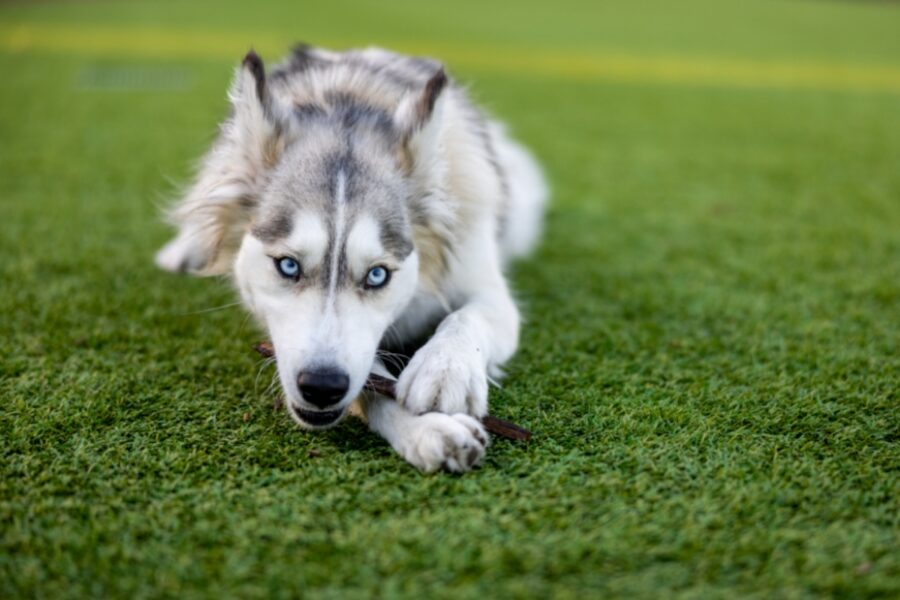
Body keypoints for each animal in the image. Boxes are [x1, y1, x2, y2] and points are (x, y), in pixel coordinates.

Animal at [156, 44, 544, 472]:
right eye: (288, 266)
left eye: (377, 275)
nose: (322, 387)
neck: (350, 105)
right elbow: (372, 380)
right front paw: (427, 428)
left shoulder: (486, 285)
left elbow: (467, 317)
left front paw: (445, 369)